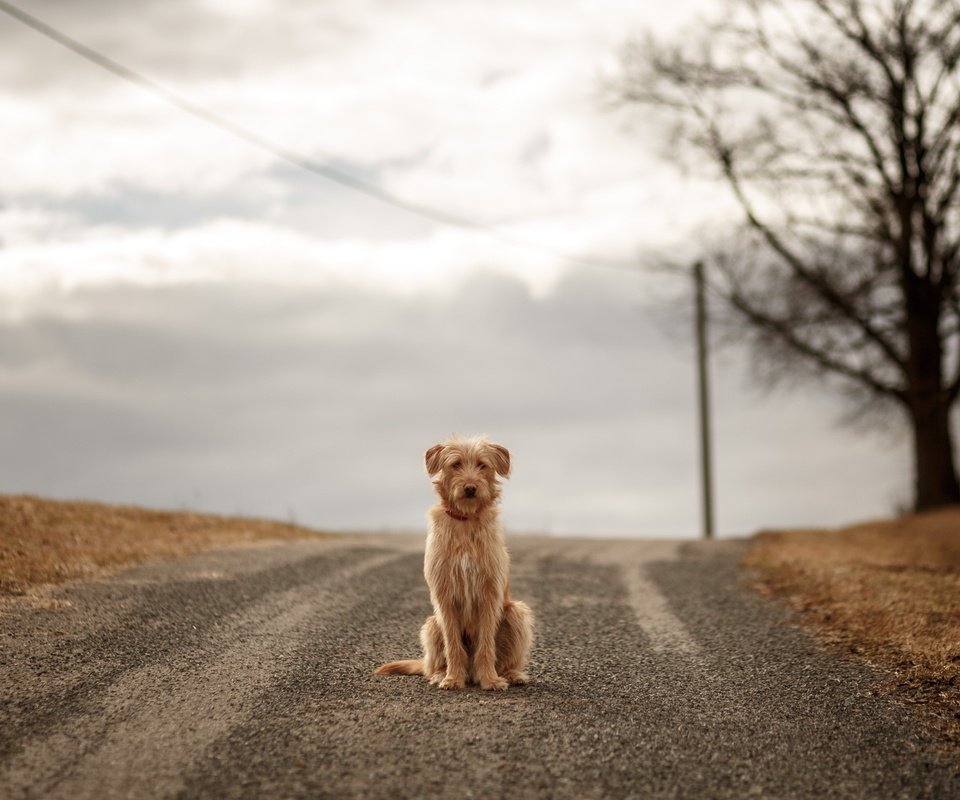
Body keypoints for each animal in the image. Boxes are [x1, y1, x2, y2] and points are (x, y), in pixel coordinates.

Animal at [376, 434, 536, 692]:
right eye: (456, 464)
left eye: (482, 465)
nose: (470, 488)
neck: (466, 520)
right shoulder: (444, 594)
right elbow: (453, 644)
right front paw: (452, 678)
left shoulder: (490, 593)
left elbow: (486, 645)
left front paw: (490, 679)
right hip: (431, 625)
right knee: (434, 662)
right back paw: (441, 674)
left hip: (516, 613)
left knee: (507, 659)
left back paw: (512, 674)